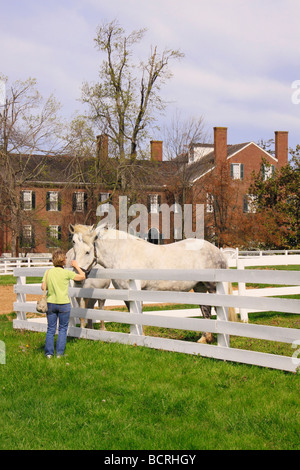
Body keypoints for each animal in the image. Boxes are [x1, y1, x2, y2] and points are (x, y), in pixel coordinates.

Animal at [69, 224, 236, 342]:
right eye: (73, 244)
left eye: (88, 252)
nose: (77, 276)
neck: (123, 253)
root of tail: (217, 251)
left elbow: (138, 315)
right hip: (200, 287)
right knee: (206, 310)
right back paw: (204, 338)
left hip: (213, 287)